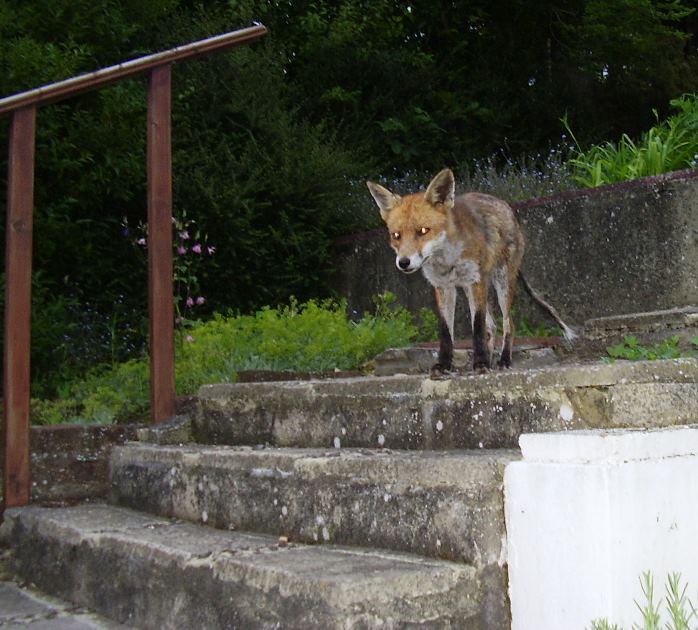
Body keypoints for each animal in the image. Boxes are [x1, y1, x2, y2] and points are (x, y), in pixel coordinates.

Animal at [368, 167, 572, 380]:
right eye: (396, 235)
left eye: (423, 231)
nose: (403, 262)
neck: (447, 261)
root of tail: (507, 208)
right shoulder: (443, 288)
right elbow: (446, 332)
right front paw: (445, 365)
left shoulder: (475, 281)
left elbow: (478, 328)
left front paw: (480, 363)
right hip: (470, 288)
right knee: (492, 326)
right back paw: (489, 358)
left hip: (501, 283)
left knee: (508, 324)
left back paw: (503, 360)